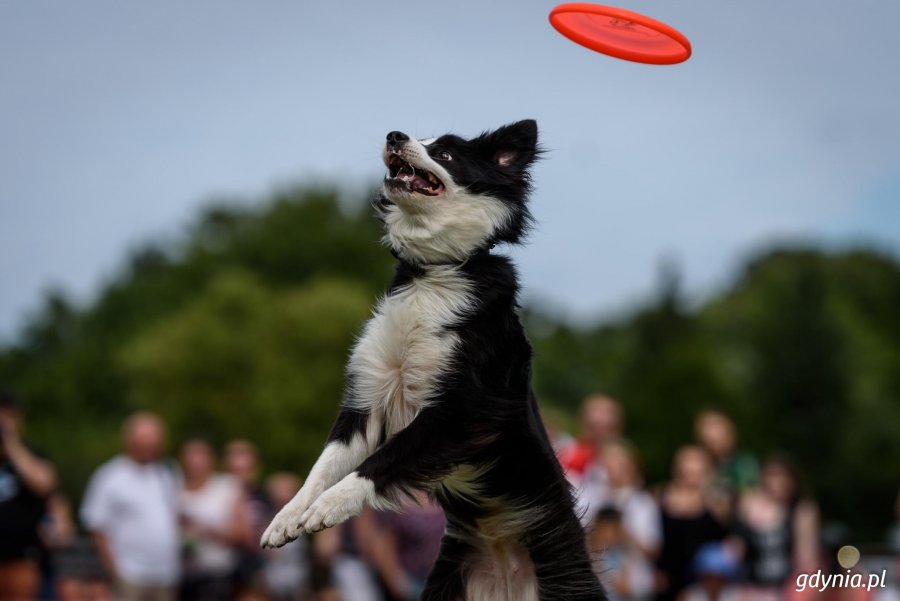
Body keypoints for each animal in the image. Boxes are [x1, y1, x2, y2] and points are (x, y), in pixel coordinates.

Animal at [260, 119, 604, 596]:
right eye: (419, 139)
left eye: (444, 154)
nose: (394, 135)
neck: (435, 271)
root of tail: (504, 561)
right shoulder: (368, 397)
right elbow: (324, 464)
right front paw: (288, 516)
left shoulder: (466, 411)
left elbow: (379, 461)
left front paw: (328, 507)